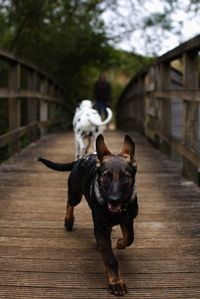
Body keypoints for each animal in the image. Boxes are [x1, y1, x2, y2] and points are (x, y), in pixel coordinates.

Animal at [38, 135, 139, 296]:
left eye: (125, 178)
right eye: (106, 177)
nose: (114, 200)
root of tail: (82, 158)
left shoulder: (128, 220)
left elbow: (129, 238)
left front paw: (120, 243)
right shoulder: (101, 228)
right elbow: (110, 258)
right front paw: (115, 282)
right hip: (75, 195)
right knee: (70, 202)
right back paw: (69, 221)